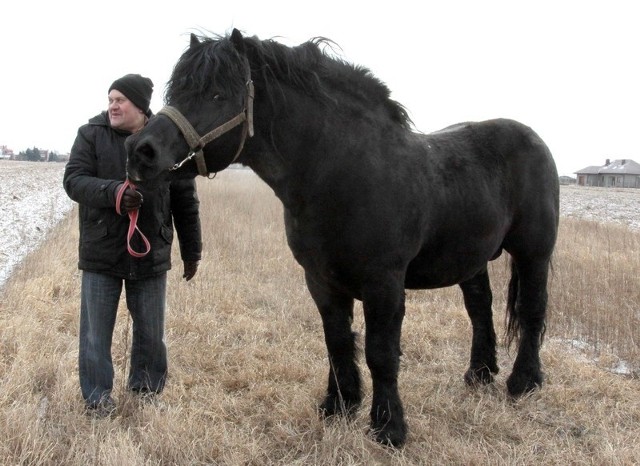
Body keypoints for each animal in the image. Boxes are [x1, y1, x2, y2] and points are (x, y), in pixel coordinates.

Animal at [124, 30, 556, 448]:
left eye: (217, 94)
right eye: (174, 92)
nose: (140, 151)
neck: (343, 174)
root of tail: (534, 139)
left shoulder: (384, 283)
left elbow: (381, 353)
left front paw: (389, 428)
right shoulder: (321, 280)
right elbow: (337, 342)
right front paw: (339, 405)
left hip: (533, 252)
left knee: (532, 310)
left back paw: (524, 382)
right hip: (471, 258)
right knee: (480, 309)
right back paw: (479, 374)